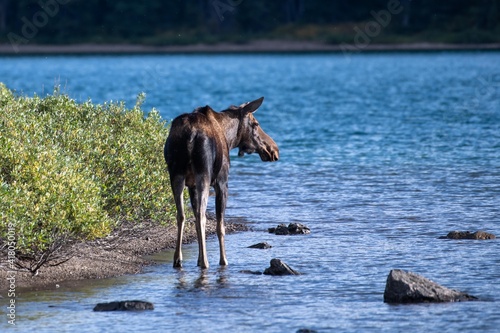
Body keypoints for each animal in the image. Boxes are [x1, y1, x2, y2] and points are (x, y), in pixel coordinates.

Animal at [166, 96, 280, 268]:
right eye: (255, 124)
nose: (274, 150)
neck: (229, 137)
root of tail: (190, 135)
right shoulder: (222, 183)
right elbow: (220, 226)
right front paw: (222, 259)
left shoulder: (191, 186)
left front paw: (198, 258)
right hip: (203, 176)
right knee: (201, 216)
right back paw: (205, 262)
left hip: (176, 176)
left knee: (181, 215)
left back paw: (178, 259)